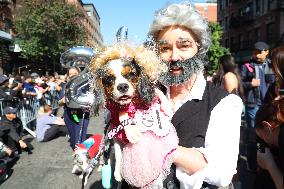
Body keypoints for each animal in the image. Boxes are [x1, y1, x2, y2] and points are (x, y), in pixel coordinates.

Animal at [90, 44, 179, 188]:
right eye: (109, 79)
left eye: (131, 74)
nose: (122, 86)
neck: (131, 104)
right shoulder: (116, 137)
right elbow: (119, 154)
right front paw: (118, 174)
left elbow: (157, 93)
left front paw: (166, 106)